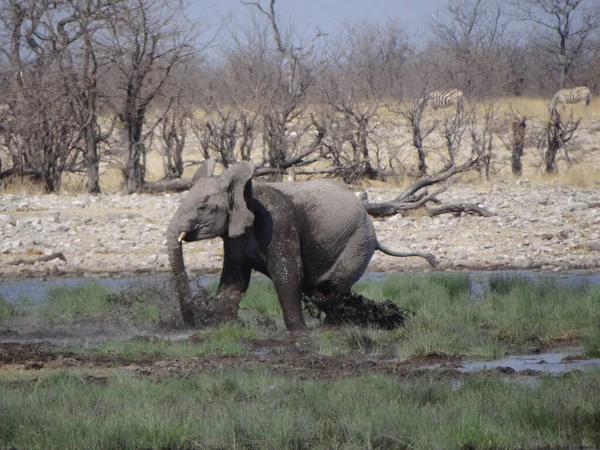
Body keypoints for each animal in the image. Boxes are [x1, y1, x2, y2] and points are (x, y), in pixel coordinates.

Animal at [165, 162, 436, 330]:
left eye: (202, 208)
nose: (191, 321)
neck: (247, 191)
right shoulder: (234, 236)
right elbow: (234, 282)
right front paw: (215, 327)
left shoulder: (279, 226)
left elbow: (286, 277)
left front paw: (299, 332)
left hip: (357, 244)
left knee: (331, 290)